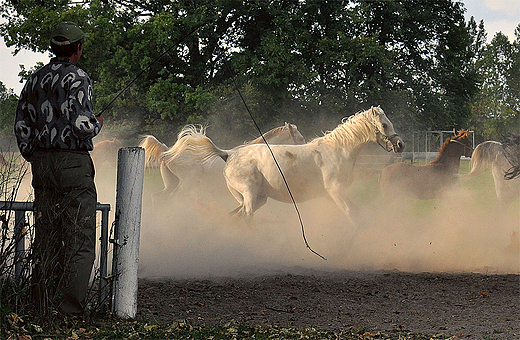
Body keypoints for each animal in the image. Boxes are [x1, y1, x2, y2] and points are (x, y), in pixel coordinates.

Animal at [183, 106, 406, 223]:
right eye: (384, 124)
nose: (400, 144)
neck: (338, 151)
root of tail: (228, 155)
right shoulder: (335, 191)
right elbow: (352, 215)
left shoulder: (330, 195)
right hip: (249, 194)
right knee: (246, 216)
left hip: (258, 198)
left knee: (236, 215)